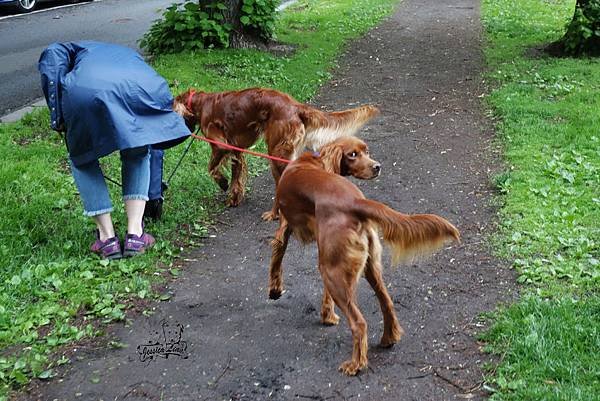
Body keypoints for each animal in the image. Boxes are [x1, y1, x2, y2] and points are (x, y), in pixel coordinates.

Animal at [175, 87, 380, 220]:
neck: (201, 103)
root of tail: (296, 107)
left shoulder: (221, 145)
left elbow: (212, 168)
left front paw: (223, 183)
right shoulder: (236, 149)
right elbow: (237, 176)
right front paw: (234, 198)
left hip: (276, 153)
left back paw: (275, 214)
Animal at [270, 138, 462, 376]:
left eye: (366, 152)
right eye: (353, 154)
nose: (377, 166)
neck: (315, 161)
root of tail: (355, 202)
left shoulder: (285, 227)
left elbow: (276, 257)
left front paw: (275, 291)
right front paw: (328, 315)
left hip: (331, 271)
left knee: (359, 323)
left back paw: (356, 364)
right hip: (364, 265)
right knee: (387, 303)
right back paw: (389, 338)